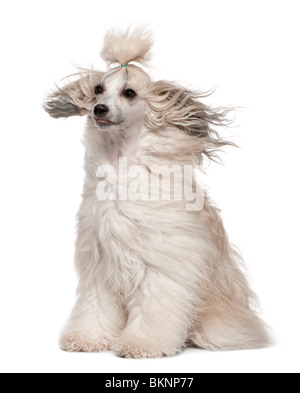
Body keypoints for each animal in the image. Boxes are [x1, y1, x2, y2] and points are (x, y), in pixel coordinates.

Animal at [44, 27, 270, 356]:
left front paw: (141, 344)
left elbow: (154, 310)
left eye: (129, 93)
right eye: (98, 89)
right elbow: (95, 307)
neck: (121, 166)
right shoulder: (99, 265)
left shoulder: (160, 265)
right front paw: (89, 338)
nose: (99, 109)